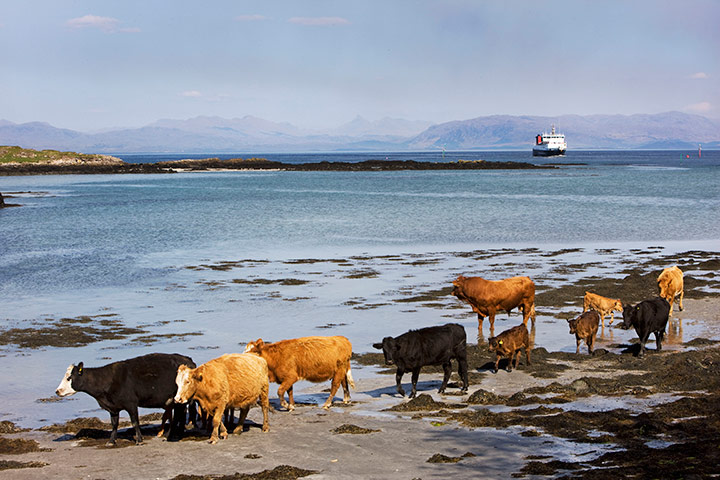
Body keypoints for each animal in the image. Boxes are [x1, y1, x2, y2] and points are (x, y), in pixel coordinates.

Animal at [56, 350, 195, 444]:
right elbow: (114, 424)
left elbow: (135, 422)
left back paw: (171, 435)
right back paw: (177, 434)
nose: (57, 391)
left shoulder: (131, 404)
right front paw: (111, 441)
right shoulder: (113, 408)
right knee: (181, 415)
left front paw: (139, 439)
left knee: (178, 416)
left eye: (69, 378)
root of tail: (188, 360)